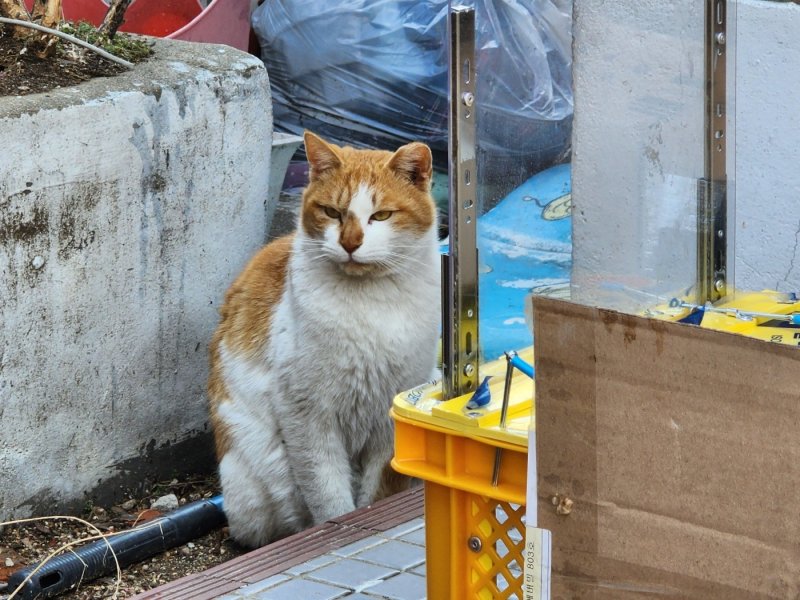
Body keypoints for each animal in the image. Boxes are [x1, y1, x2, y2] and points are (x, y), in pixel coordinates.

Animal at [206, 132, 440, 548]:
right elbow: (329, 495)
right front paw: (339, 526)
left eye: (381, 216)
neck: (369, 304)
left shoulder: (392, 415)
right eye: (333, 212)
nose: (350, 242)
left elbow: (378, 491)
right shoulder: (307, 413)